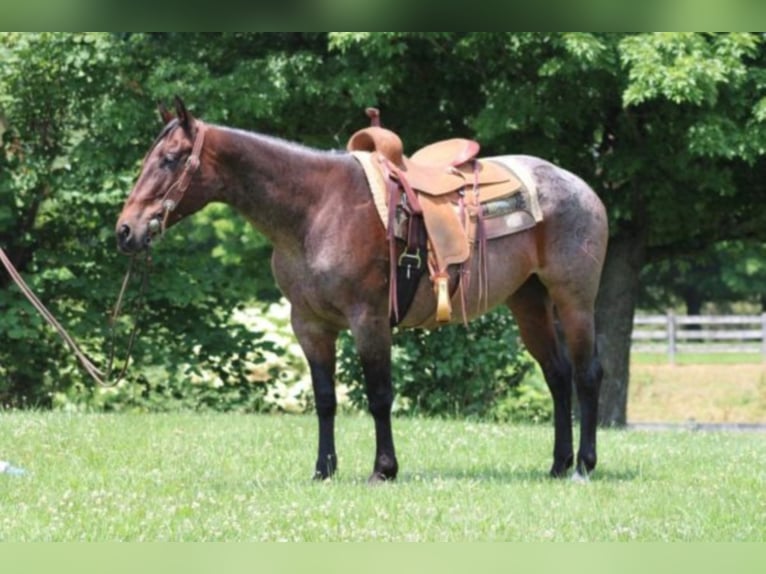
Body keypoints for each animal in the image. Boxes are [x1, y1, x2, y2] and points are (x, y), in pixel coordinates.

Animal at [114, 100, 608, 486]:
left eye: (172, 158)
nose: (126, 230)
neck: (316, 210)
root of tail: (579, 185)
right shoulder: (309, 325)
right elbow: (325, 399)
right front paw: (323, 470)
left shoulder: (368, 319)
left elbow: (379, 394)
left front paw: (383, 469)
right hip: (528, 302)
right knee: (557, 375)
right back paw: (558, 465)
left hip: (575, 300)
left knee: (587, 375)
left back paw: (583, 466)